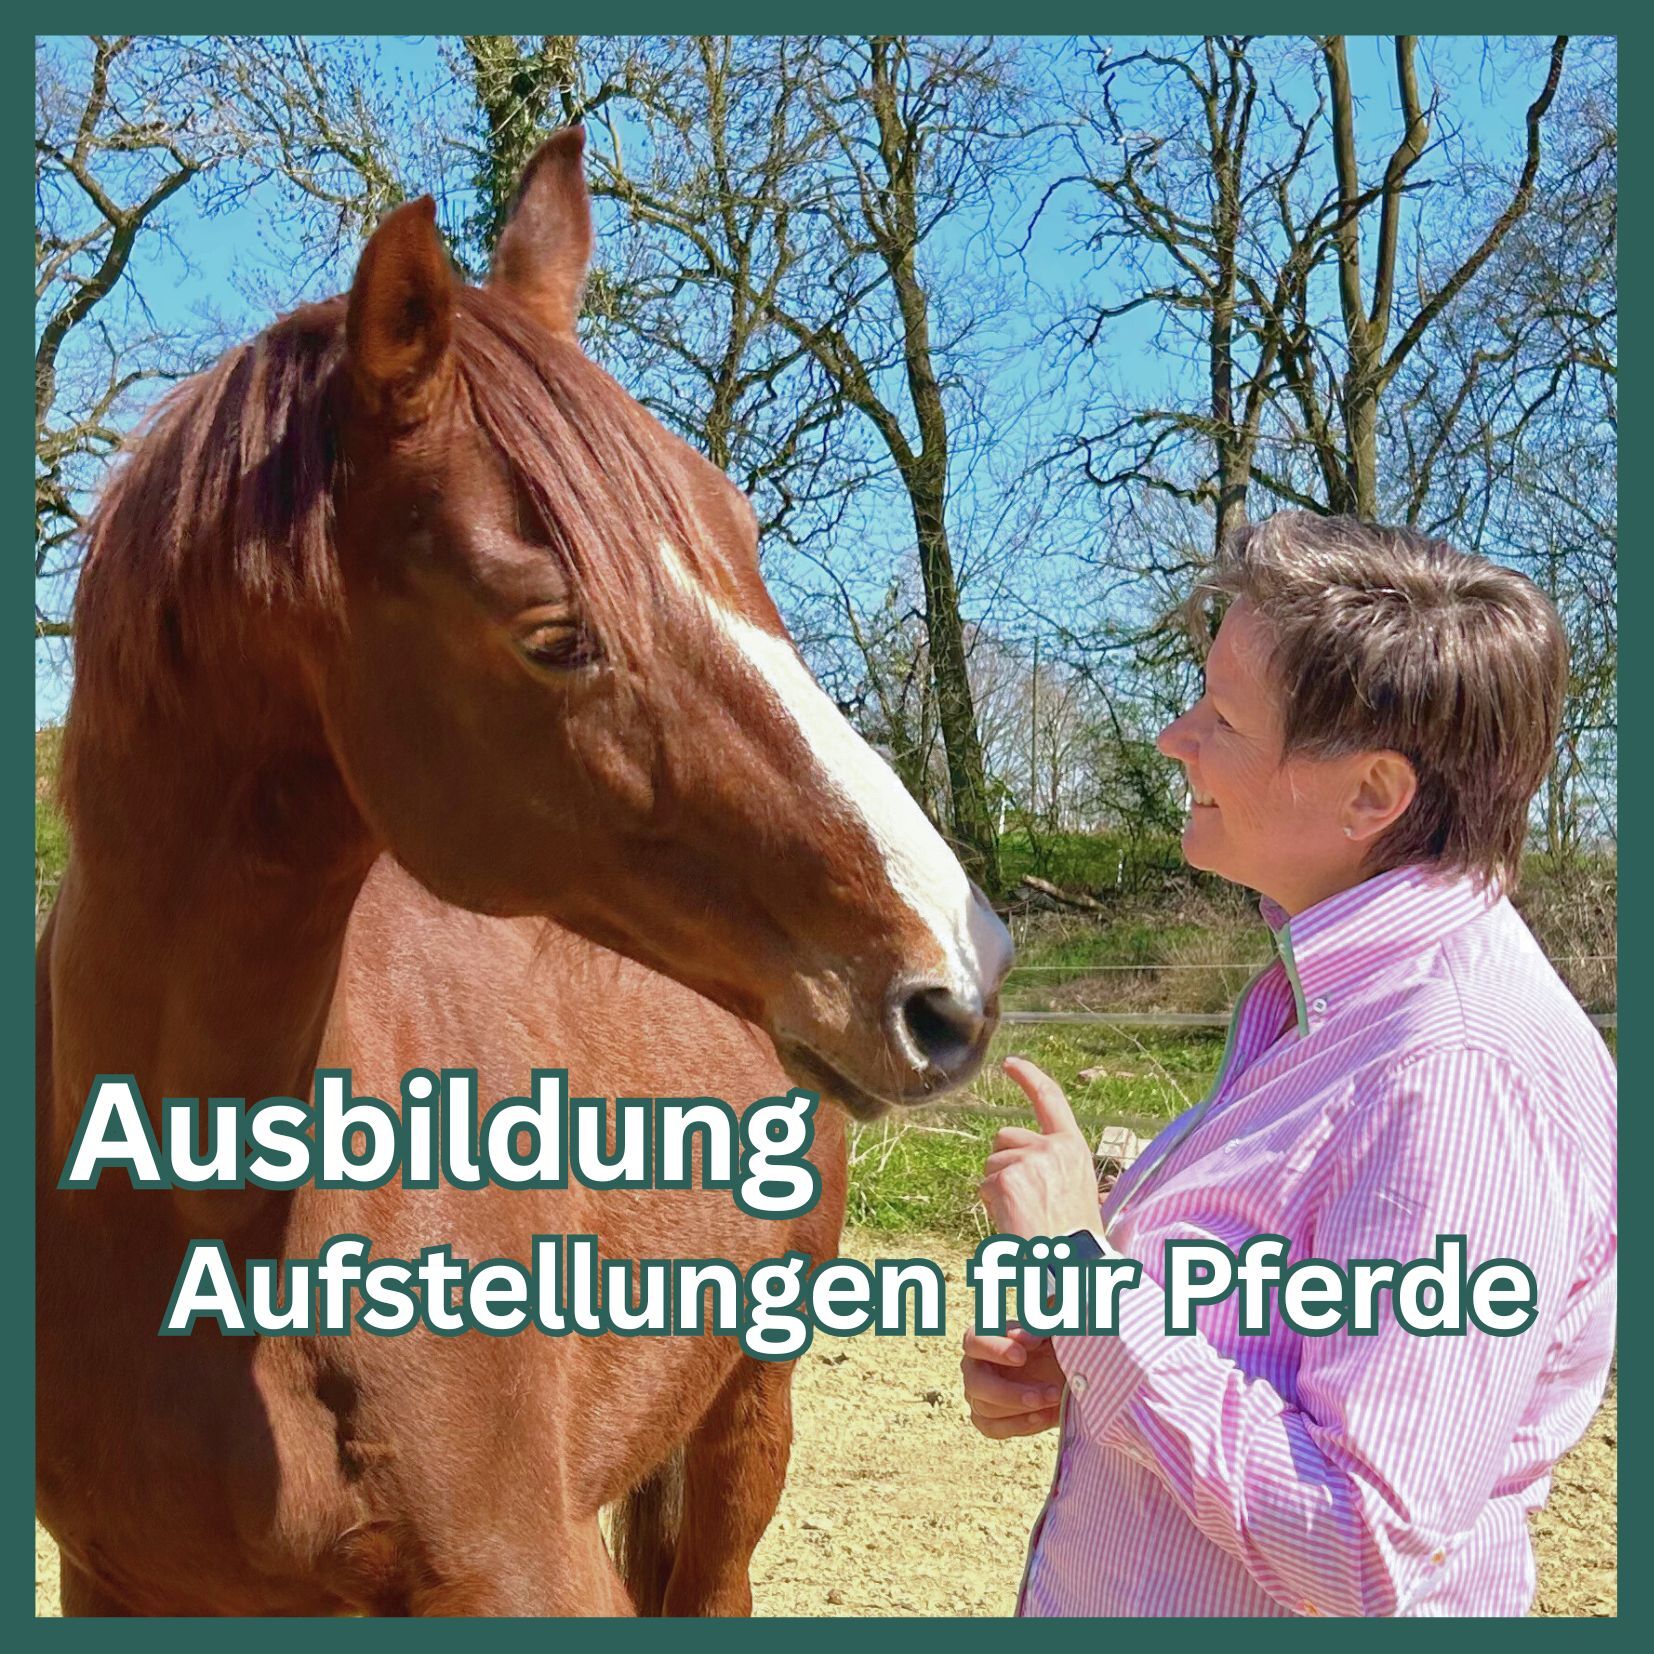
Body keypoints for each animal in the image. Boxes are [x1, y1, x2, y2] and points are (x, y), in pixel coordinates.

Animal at [36, 127, 1012, 1617]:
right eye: (554, 635)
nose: (953, 978)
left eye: (738, 534)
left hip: (743, 1420)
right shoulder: (115, 1578)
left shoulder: (525, 1569)